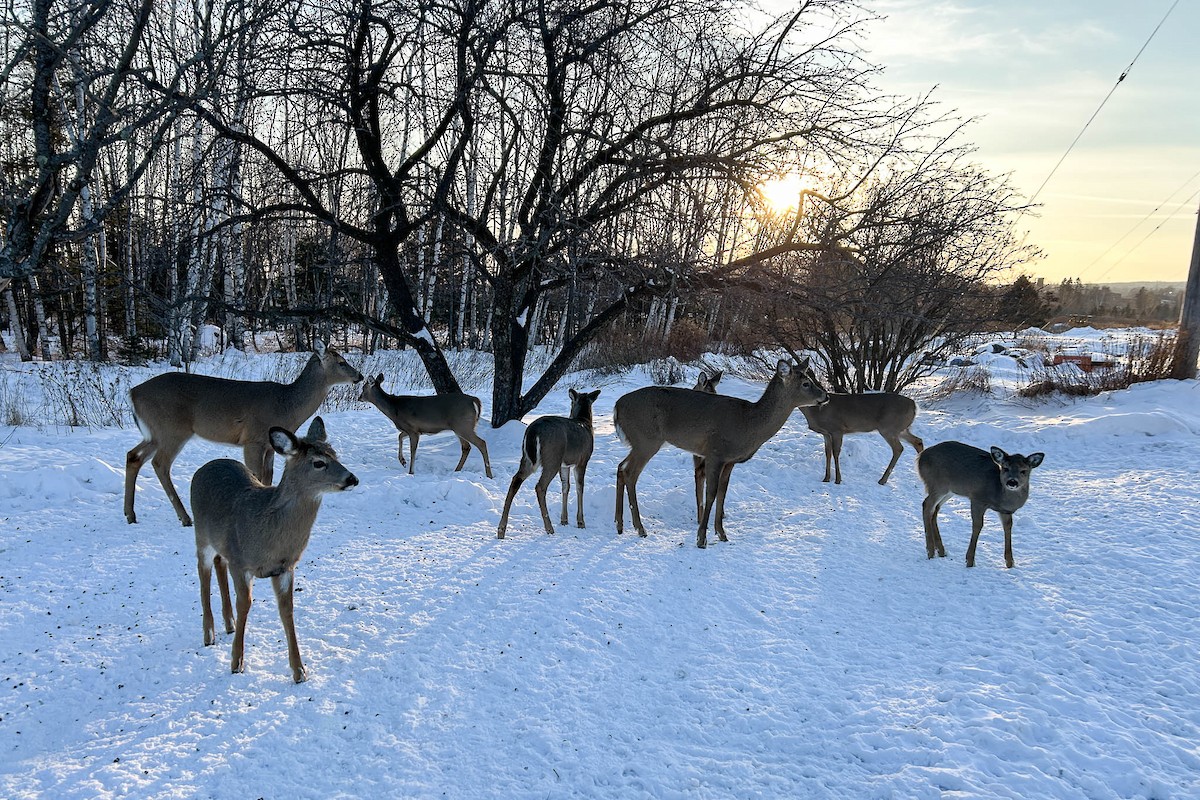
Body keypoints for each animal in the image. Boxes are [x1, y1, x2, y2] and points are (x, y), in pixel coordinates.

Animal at [124, 340, 362, 526]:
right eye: (341, 362)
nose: (359, 376)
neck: (287, 406)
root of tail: (133, 393)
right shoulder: (253, 439)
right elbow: (255, 474)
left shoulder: (269, 445)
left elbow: (268, 476)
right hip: (172, 430)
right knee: (159, 463)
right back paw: (184, 517)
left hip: (155, 434)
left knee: (133, 456)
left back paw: (130, 514)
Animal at [191, 416, 357, 683]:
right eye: (318, 462)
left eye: (335, 454)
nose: (352, 479)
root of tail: (206, 466)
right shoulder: (241, 562)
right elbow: (245, 603)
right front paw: (236, 663)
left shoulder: (285, 567)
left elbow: (287, 611)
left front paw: (299, 671)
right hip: (201, 534)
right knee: (203, 572)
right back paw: (209, 634)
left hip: (221, 543)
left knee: (219, 563)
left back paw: (229, 624)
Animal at [357, 373, 492, 478]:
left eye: (363, 388)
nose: (359, 398)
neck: (394, 410)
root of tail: (475, 400)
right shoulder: (413, 429)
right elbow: (399, 436)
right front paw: (402, 461)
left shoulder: (413, 430)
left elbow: (413, 450)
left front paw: (411, 471)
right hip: (459, 428)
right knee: (466, 447)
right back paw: (457, 470)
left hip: (463, 425)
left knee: (481, 443)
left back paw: (489, 475)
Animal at [496, 389, 601, 539]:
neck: (584, 421)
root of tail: (533, 430)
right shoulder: (582, 460)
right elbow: (580, 487)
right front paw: (581, 522)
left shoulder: (565, 464)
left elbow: (566, 486)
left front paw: (564, 520)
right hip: (552, 457)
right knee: (540, 486)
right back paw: (549, 528)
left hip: (528, 458)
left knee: (515, 480)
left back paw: (501, 529)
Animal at [614, 359, 828, 548]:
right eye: (806, 383)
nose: (826, 396)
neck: (748, 424)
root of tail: (617, 407)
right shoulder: (715, 453)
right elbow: (711, 493)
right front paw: (701, 539)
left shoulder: (729, 461)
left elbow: (723, 493)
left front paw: (722, 533)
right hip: (646, 439)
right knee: (630, 473)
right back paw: (640, 529)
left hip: (639, 443)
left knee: (620, 467)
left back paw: (619, 525)